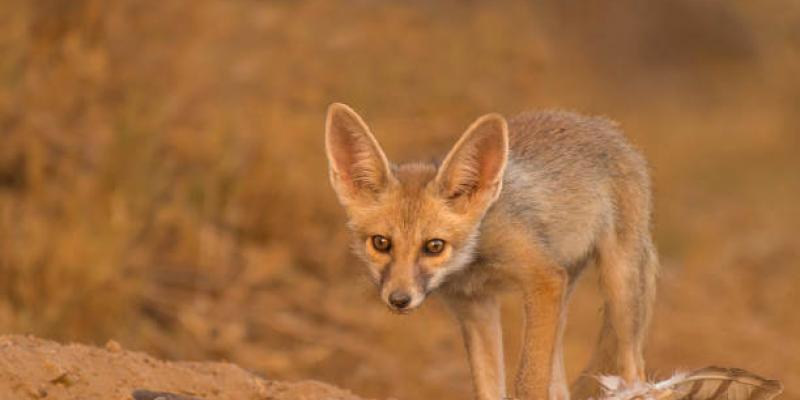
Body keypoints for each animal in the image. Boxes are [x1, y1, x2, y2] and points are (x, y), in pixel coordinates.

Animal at [324, 103, 656, 400]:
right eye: (381, 243)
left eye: (434, 246)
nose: (399, 299)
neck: (473, 262)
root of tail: (602, 125)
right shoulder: (475, 308)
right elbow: (487, 387)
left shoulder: (543, 278)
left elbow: (528, 381)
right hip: (565, 299)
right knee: (561, 385)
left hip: (619, 290)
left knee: (636, 372)